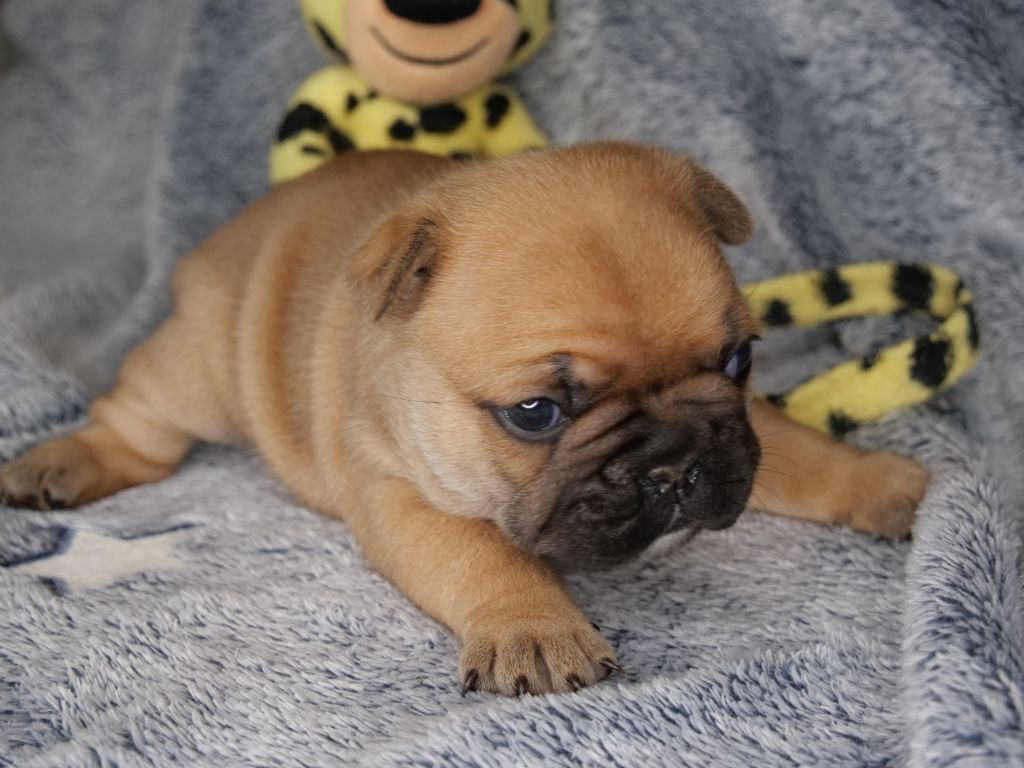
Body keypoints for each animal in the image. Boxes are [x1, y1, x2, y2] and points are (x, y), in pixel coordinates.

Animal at [0, 144, 928, 695]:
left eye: (739, 361)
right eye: (535, 413)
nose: (672, 468)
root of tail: (223, 238)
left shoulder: (740, 424)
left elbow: (799, 451)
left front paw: (891, 487)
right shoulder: (400, 496)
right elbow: (486, 557)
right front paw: (536, 629)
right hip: (200, 372)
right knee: (139, 418)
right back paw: (63, 463)